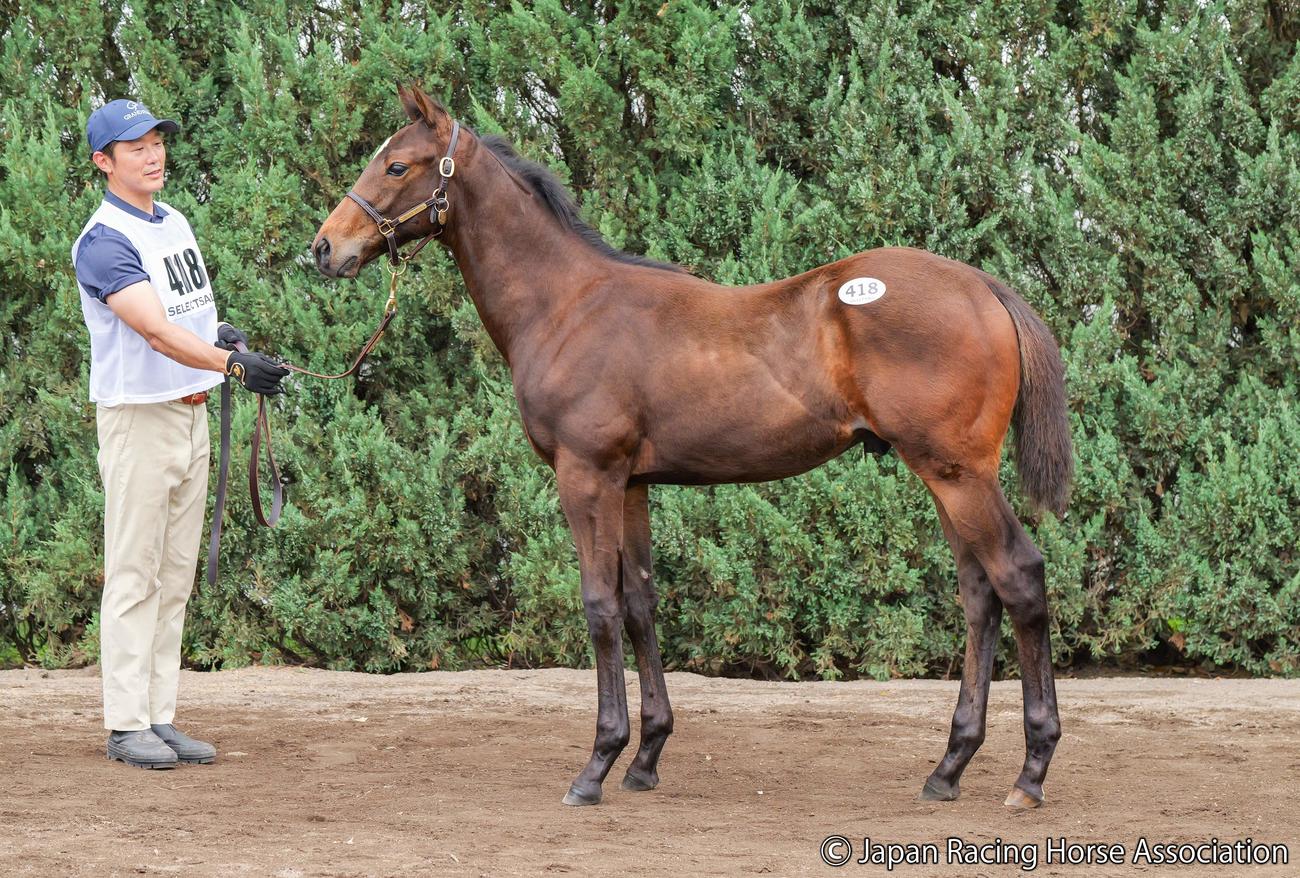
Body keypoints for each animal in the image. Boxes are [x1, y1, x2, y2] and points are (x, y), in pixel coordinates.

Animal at [312, 84, 1073, 810]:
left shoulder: (586, 476)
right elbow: (640, 604)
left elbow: (599, 606)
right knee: (979, 594)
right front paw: (645, 757)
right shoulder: (632, 484)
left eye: (397, 165)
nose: (324, 248)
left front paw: (596, 764)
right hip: (944, 476)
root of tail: (983, 286)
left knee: (1019, 576)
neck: (566, 304)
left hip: (958, 474)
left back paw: (1031, 772)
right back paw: (948, 767)